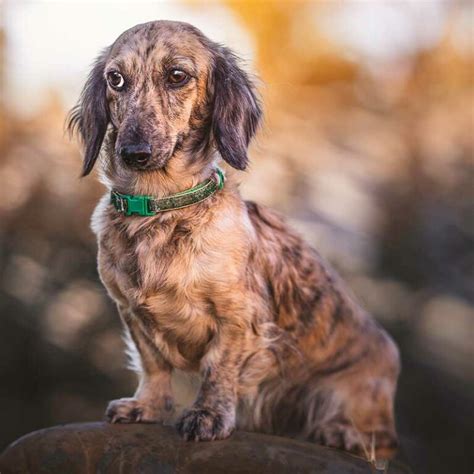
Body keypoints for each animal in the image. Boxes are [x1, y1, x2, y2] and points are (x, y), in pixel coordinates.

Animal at [66, 21, 400, 460]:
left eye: (177, 75)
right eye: (115, 79)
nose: (133, 152)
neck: (161, 209)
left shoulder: (239, 318)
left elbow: (218, 369)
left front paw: (207, 416)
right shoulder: (132, 313)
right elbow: (154, 364)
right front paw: (147, 406)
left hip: (348, 393)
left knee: (380, 439)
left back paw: (344, 433)